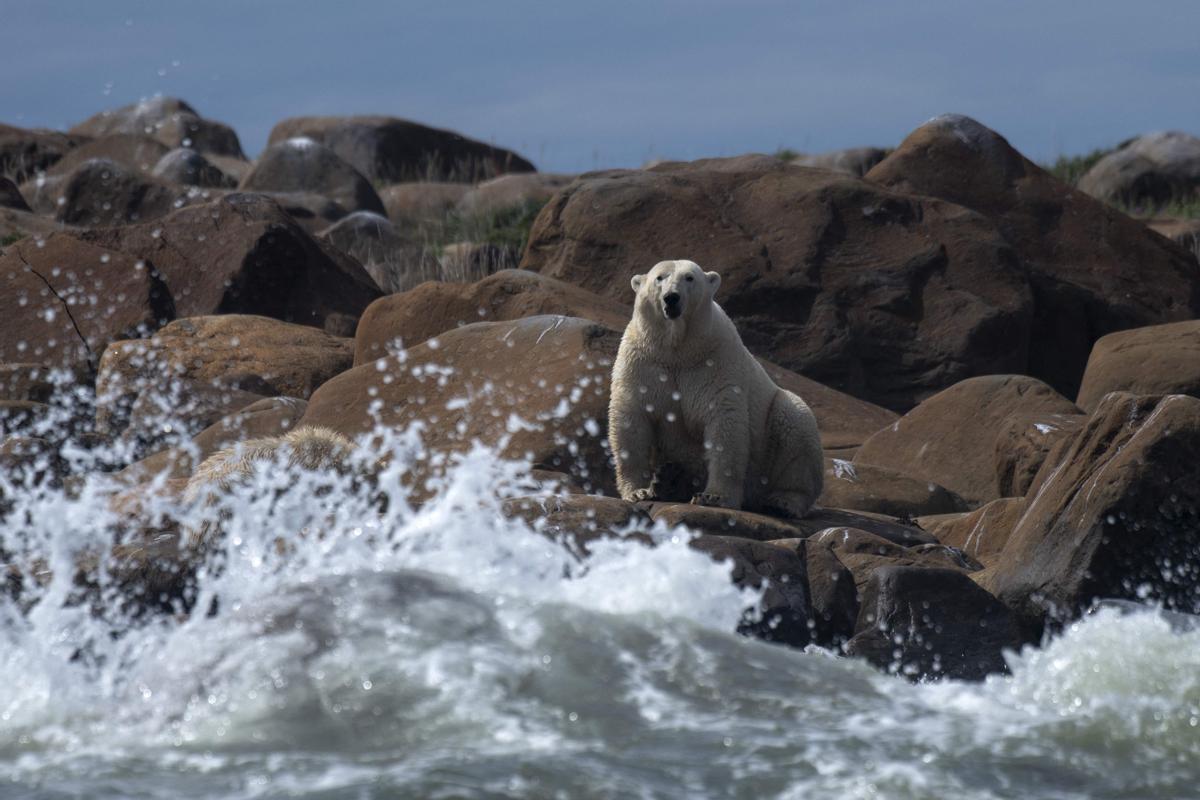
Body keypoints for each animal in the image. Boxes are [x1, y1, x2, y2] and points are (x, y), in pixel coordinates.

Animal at [609, 260, 825, 515]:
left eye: (689, 277)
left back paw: (783, 501)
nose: (671, 298)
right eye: (659, 277)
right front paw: (638, 491)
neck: (678, 350)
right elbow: (631, 418)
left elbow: (724, 422)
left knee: (795, 429)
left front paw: (713, 497)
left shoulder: (715, 361)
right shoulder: (644, 363)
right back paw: (669, 480)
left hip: (771, 435)